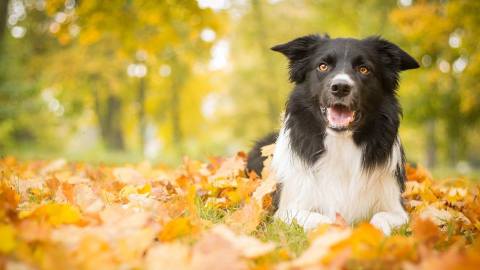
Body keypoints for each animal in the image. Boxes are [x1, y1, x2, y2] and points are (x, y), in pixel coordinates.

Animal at [248, 34, 420, 234]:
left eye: (364, 69)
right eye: (323, 66)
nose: (340, 87)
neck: (341, 143)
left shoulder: (396, 208)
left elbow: (381, 216)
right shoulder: (285, 210)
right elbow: (318, 218)